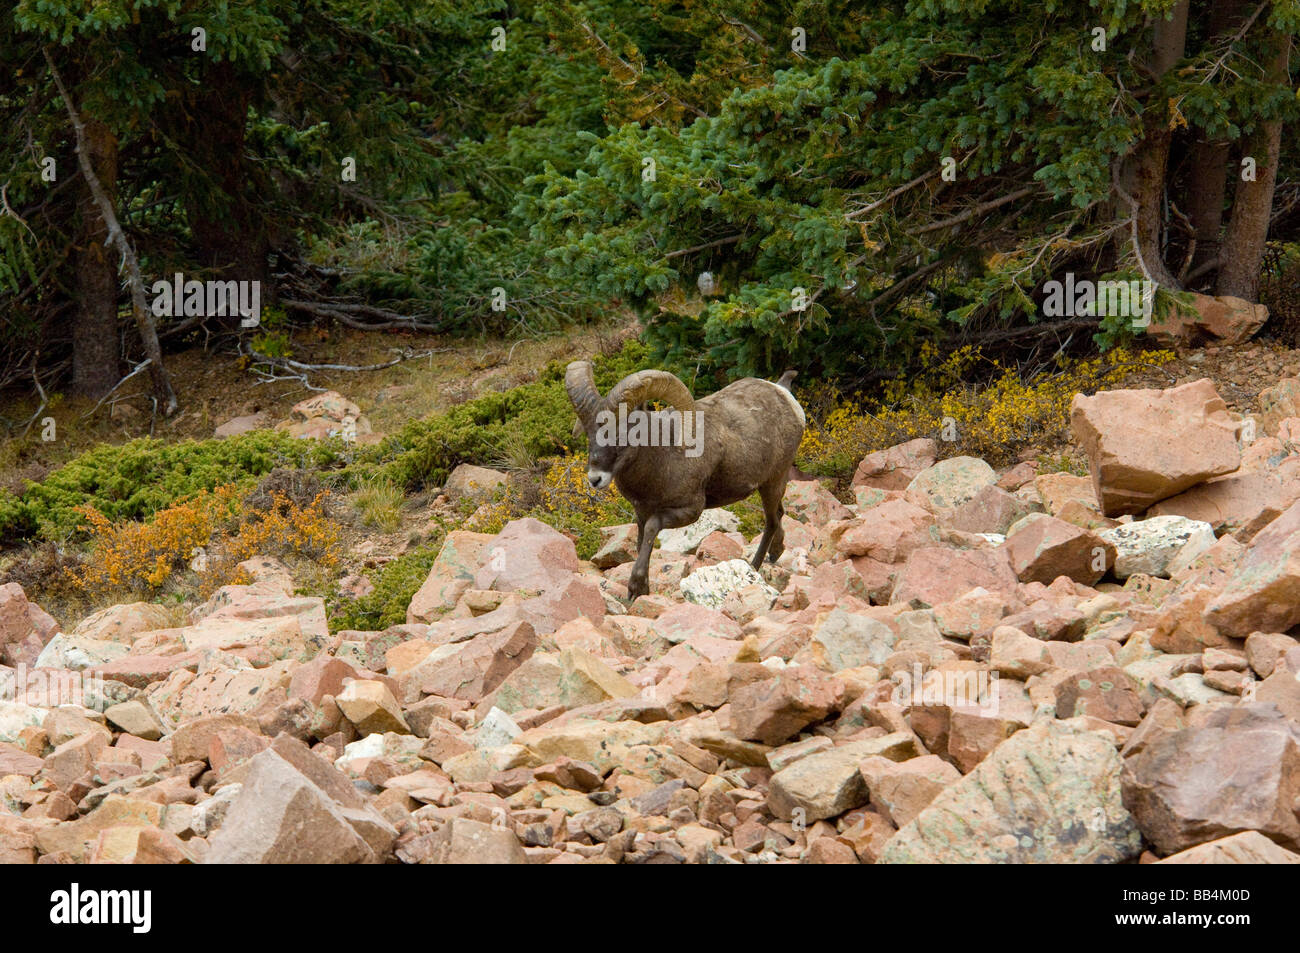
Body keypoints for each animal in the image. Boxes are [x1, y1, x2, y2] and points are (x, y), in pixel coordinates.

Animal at [565, 360, 806, 600]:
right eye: (589, 433)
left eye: (622, 434)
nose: (595, 478)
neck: (661, 460)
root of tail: (784, 394)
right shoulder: (641, 513)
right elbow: (642, 541)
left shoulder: (690, 511)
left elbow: (652, 529)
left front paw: (636, 588)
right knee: (779, 515)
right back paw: (777, 552)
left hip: (772, 483)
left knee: (771, 521)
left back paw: (754, 566)